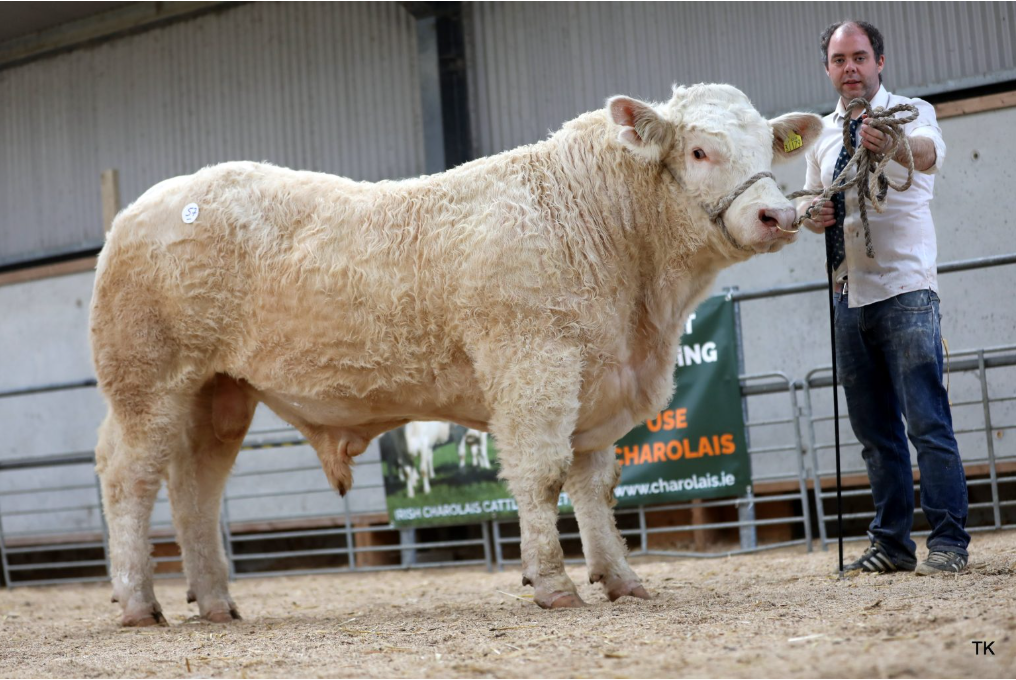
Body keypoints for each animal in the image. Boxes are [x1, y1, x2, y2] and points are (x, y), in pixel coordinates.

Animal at [90, 83, 821, 625]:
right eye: (699, 151)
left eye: (769, 147)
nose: (778, 216)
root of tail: (141, 207)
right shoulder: (534, 365)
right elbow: (542, 475)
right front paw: (553, 585)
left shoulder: (597, 382)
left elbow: (595, 485)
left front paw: (620, 578)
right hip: (146, 381)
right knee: (129, 477)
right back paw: (138, 602)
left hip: (217, 392)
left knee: (195, 489)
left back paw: (215, 601)